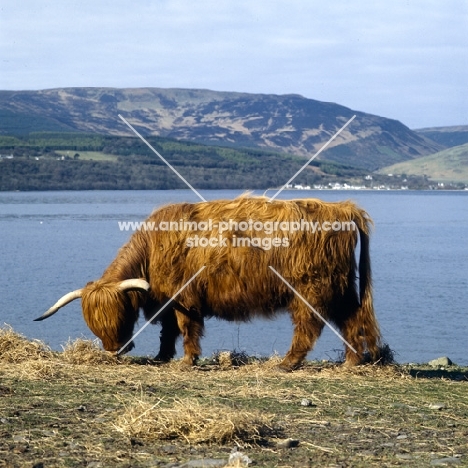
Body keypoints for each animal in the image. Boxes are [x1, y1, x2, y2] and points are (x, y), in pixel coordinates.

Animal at [36, 196, 380, 372]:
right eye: (94, 324)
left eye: (121, 316)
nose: (113, 351)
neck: (152, 247)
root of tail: (343, 208)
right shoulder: (167, 299)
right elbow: (168, 331)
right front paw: (162, 357)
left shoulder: (184, 296)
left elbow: (186, 328)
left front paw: (188, 360)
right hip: (341, 287)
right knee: (352, 319)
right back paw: (351, 362)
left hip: (311, 288)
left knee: (309, 325)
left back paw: (287, 363)